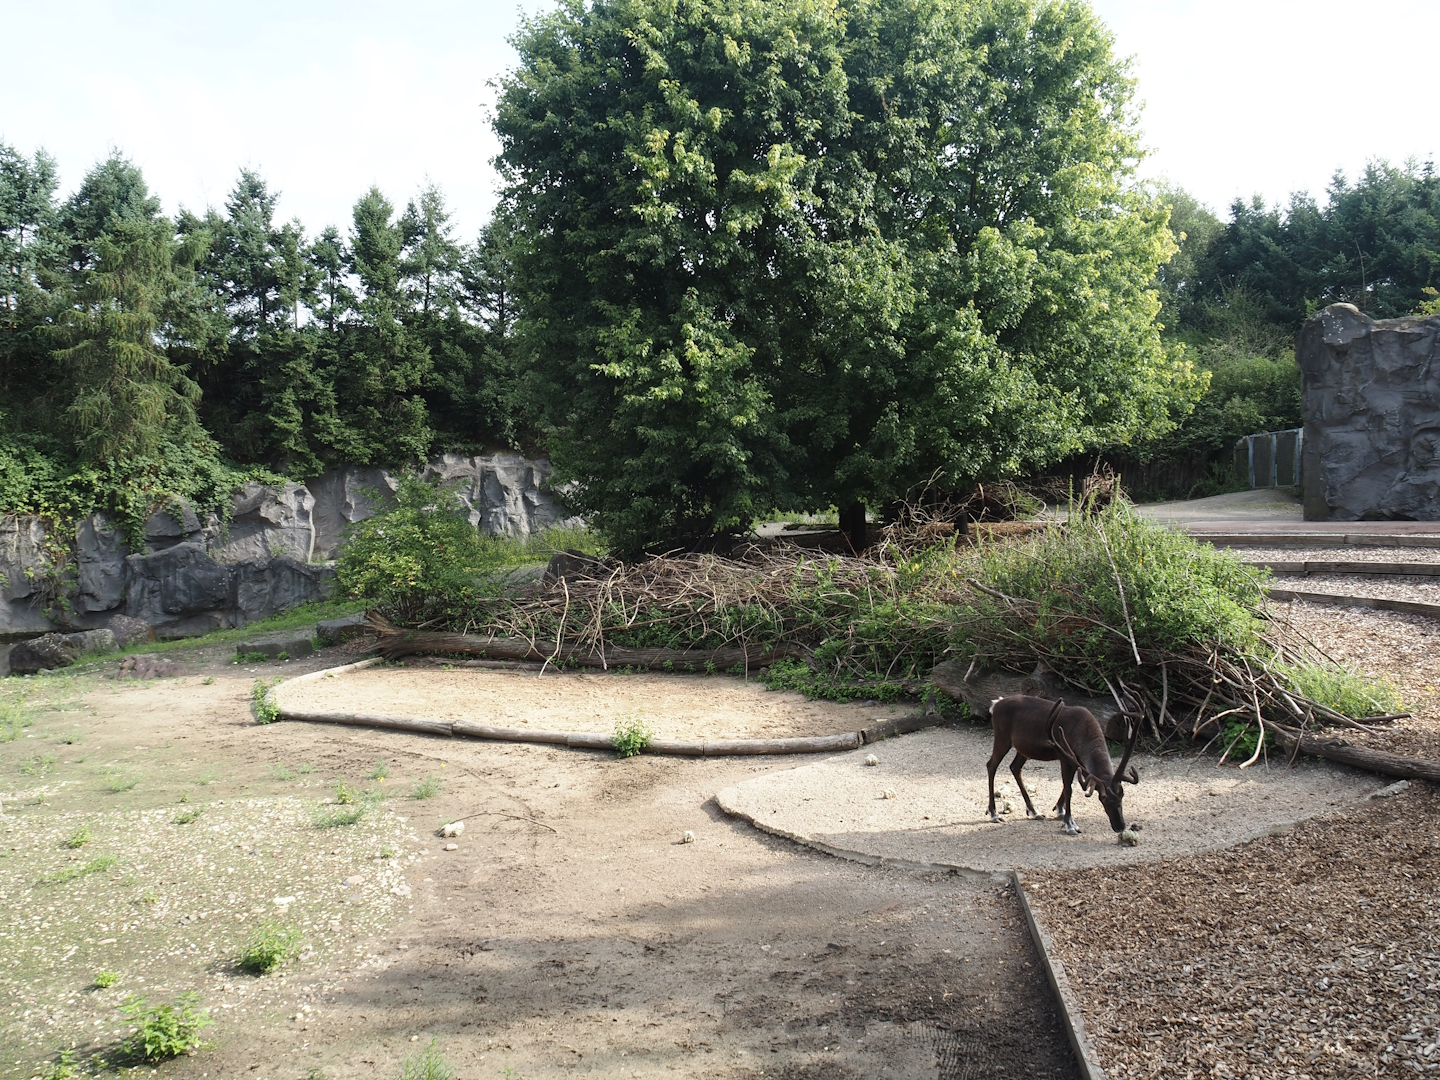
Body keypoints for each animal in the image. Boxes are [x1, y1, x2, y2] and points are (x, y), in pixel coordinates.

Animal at [985, 695, 1140, 838]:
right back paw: (994, 813)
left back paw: (1034, 811)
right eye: (1102, 799)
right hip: (1002, 737)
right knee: (991, 765)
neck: (1085, 733)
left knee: (1015, 767)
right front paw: (1070, 824)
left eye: (1122, 795)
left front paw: (1059, 809)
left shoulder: (1077, 761)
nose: (1120, 826)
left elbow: (1068, 786)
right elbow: (1068, 789)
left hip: (1023, 748)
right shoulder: (1064, 756)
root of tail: (995, 704)